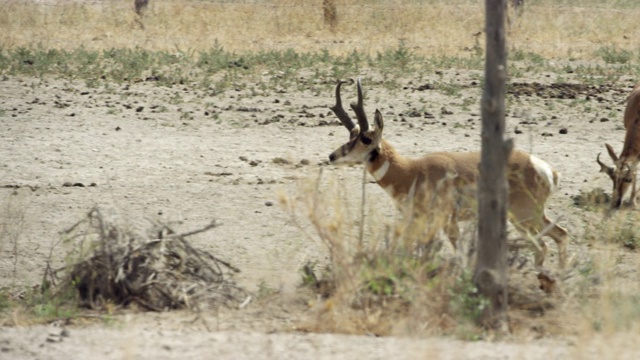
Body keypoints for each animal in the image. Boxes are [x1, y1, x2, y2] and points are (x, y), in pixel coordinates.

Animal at [328, 80, 568, 268]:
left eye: (366, 138)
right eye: (351, 134)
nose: (332, 156)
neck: (412, 170)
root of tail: (546, 169)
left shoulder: (447, 221)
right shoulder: (416, 220)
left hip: (524, 219)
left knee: (545, 245)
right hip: (526, 220)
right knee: (559, 235)